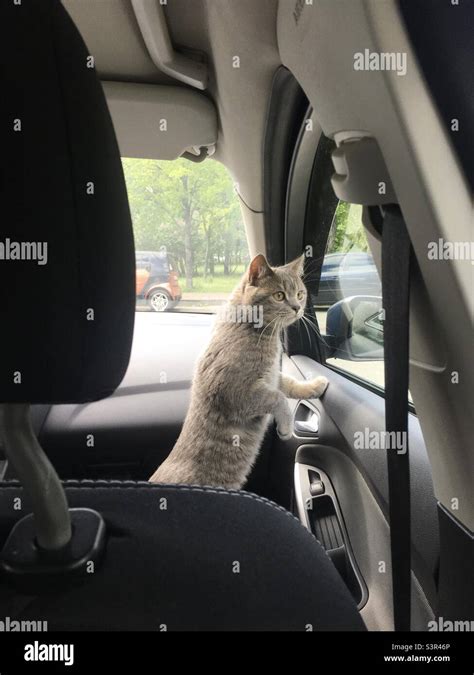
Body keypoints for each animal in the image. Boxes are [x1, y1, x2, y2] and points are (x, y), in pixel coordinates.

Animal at [150, 255, 328, 492]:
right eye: (279, 295)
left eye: (300, 293)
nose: (298, 307)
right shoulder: (233, 391)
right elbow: (278, 397)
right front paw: (286, 427)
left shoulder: (272, 375)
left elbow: (289, 384)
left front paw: (316, 385)